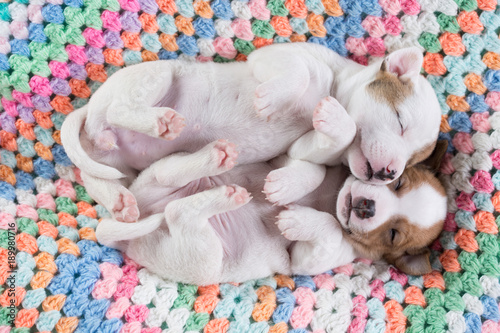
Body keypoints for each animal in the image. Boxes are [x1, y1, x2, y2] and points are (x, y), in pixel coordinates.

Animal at [60, 42, 440, 222]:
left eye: (412, 160)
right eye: (400, 120)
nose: (388, 173)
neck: (335, 84)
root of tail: (90, 111)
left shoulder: (301, 148)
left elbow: (317, 163)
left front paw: (285, 186)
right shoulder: (279, 57)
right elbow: (299, 73)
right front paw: (271, 100)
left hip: (120, 163)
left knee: (96, 175)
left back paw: (120, 201)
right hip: (154, 79)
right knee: (119, 111)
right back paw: (159, 122)